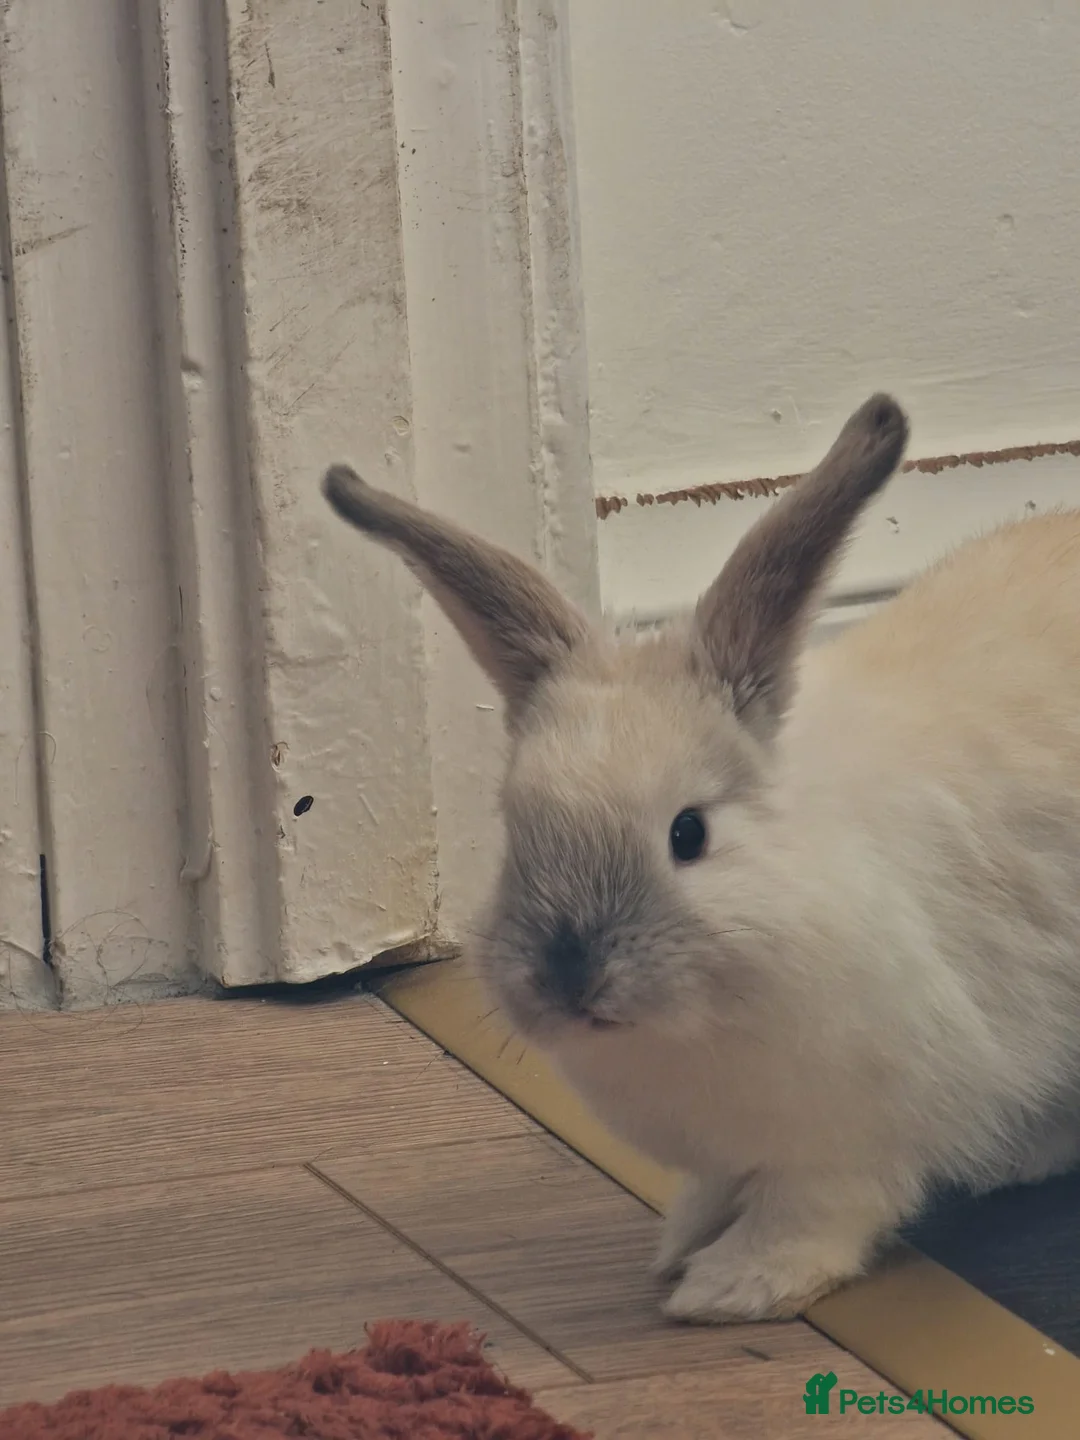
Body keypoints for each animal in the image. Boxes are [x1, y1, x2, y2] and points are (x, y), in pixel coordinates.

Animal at [321, 394, 1080, 1324]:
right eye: (515, 827)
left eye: (688, 835)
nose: (569, 978)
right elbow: (717, 1190)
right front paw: (679, 1245)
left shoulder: (854, 1139)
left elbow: (812, 1215)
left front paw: (730, 1288)